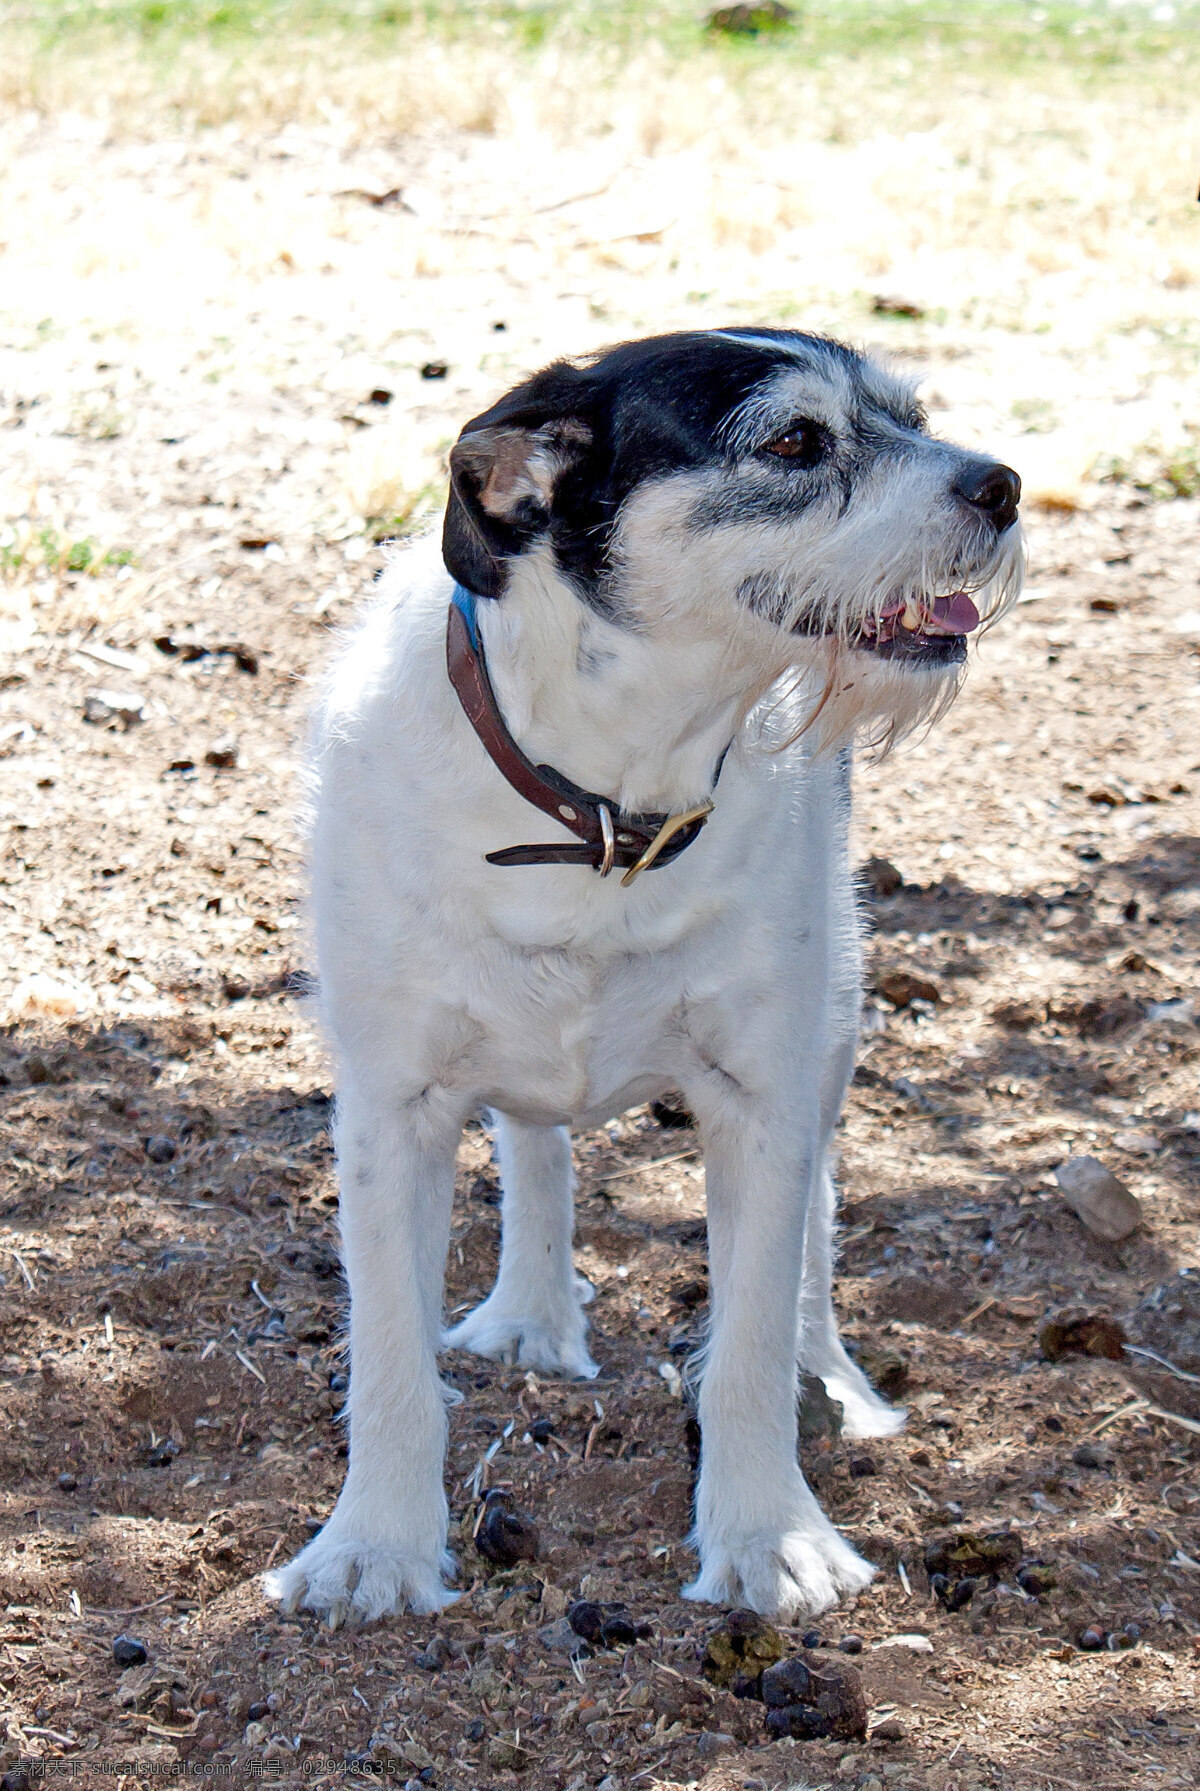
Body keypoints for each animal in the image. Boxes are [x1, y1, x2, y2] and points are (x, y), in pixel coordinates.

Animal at [265, 329, 1024, 1633]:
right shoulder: (388, 1110)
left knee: (814, 1230)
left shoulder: (761, 1100)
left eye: (914, 418)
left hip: (831, 1025)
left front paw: (770, 1537)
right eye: (794, 440)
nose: (1005, 485)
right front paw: (374, 1547)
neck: (606, 809)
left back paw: (829, 1372)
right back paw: (530, 1311)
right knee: (536, 1146)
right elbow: (389, 1357)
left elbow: (754, 1339)